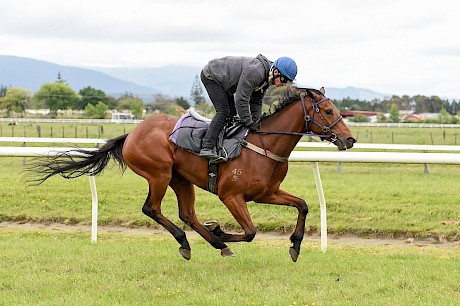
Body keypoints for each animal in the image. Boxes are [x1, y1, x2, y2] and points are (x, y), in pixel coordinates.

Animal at [26, 86, 356, 260]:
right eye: (328, 111)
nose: (350, 139)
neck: (264, 145)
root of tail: (132, 133)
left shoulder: (267, 193)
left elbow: (303, 204)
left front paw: (295, 245)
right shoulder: (230, 195)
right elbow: (250, 232)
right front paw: (222, 230)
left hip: (180, 179)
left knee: (186, 212)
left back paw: (212, 242)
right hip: (158, 174)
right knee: (152, 209)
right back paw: (195, 241)